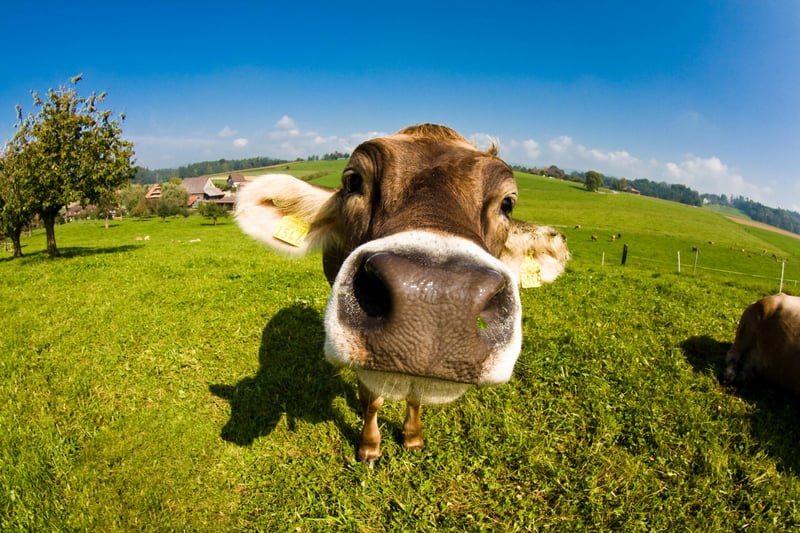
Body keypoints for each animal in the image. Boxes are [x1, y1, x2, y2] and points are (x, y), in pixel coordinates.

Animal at [235, 124, 570, 461]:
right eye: (353, 181)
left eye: (507, 203)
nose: (436, 296)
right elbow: (372, 398)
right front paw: (369, 446)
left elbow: (415, 396)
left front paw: (412, 437)